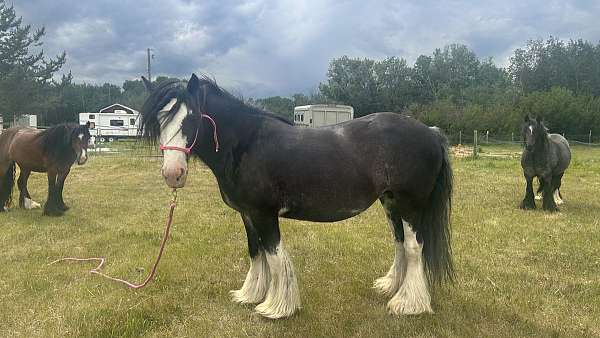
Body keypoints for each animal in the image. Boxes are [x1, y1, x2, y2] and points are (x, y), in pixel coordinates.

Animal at [139, 74, 450, 320]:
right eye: (158, 121)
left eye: (190, 118)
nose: (173, 174)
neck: (246, 144)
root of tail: (431, 133)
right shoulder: (247, 214)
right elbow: (256, 252)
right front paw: (250, 294)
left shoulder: (264, 214)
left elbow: (276, 257)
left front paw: (275, 307)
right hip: (391, 203)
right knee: (399, 243)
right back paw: (391, 287)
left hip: (410, 205)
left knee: (413, 247)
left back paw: (408, 304)